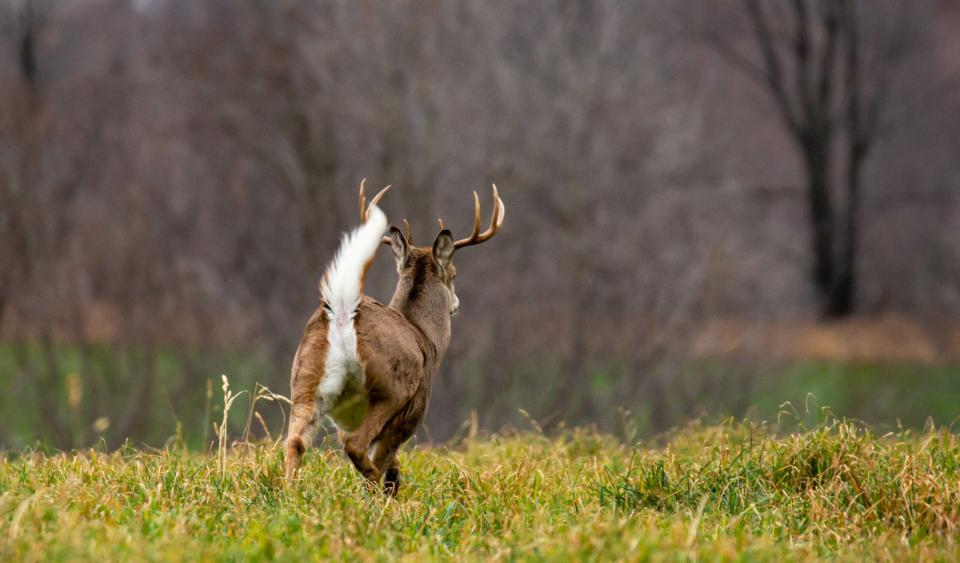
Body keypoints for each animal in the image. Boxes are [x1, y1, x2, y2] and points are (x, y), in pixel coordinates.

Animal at [284, 182, 506, 498]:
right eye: (454, 274)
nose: (457, 303)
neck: (426, 337)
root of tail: (342, 313)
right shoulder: (412, 412)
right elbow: (385, 457)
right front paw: (387, 488)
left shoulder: (344, 419)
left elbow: (392, 462)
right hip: (390, 389)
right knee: (356, 447)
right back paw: (376, 493)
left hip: (304, 382)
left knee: (295, 442)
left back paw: (291, 493)